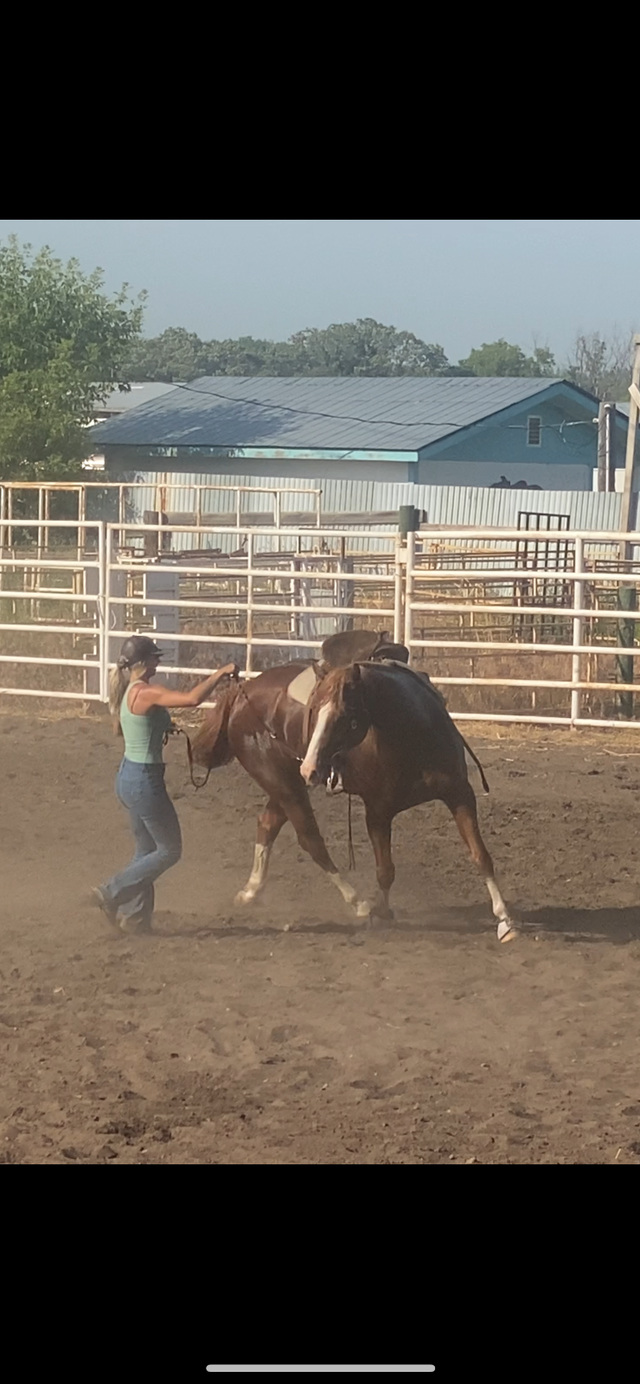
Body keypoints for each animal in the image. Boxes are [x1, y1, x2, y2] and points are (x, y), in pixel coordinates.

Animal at [189, 631, 517, 943]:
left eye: (347, 717)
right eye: (313, 710)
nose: (310, 767)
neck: (412, 736)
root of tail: (242, 694)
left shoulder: (459, 794)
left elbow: (481, 856)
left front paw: (505, 920)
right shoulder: (378, 810)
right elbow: (385, 870)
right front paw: (381, 913)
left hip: (288, 784)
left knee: (268, 823)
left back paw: (250, 891)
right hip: (282, 783)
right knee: (311, 840)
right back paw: (357, 902)